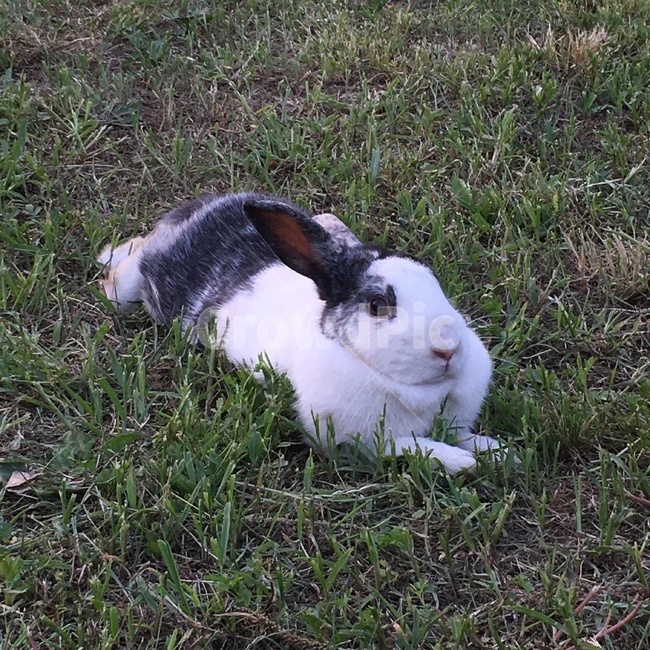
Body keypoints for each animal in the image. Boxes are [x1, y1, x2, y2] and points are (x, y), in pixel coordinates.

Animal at [98, 193, 499, 474]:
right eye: (377, 304)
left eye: (434, 280)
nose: (449, 349)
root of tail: (190, 216)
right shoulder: (357, 444)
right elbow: (413, 447)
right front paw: (462, 463)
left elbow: (464, 436)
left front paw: (494, 450)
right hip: (131, 288)